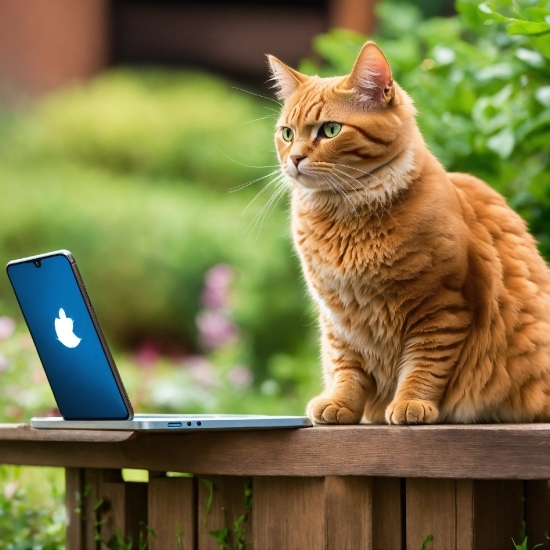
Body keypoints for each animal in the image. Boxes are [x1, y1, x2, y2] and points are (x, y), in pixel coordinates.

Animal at [270, 42, 550, 426]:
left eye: (330, 130)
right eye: (287, 133)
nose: (294, 158)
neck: (347, 216)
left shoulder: (441, 309)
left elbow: (424, 366)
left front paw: (410, 403)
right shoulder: (339, 319)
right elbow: (347, 369)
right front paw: (340, 403)